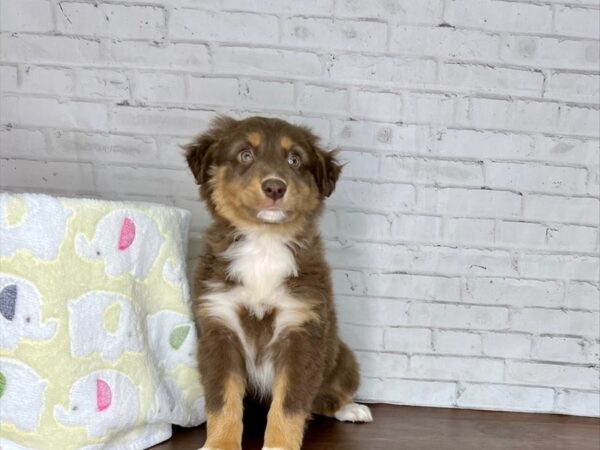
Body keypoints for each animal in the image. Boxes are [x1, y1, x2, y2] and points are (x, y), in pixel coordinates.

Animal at [184, 115, 370, 450]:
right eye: (245, 155)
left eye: (294, 159)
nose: (274, 186)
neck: (263, 245)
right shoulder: (219, 329)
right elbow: (222, 401)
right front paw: (219, 444)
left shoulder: (302, 332)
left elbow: (289, 405)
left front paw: (278, 445)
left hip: (344, 358)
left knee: (325, 396)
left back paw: (351, 408)